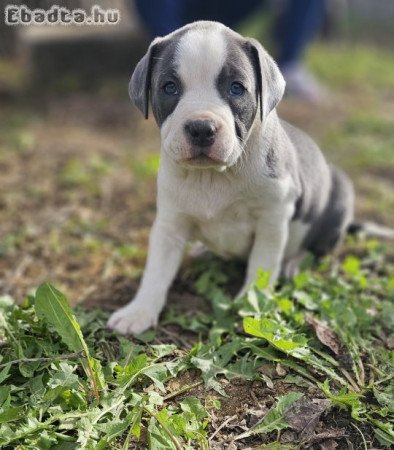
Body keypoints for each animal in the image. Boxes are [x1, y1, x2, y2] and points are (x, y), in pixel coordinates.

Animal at [107, 22, 354, 336]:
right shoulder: (169, 223)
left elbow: (261, 267)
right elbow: (156, 270)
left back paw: (293, 262)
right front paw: (139, 310)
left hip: (340, 196)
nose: (201, 128)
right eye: (169, 87)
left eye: (236, 88)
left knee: (319, 248)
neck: (213, 176)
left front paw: (252, 305)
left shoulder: (272, 218)